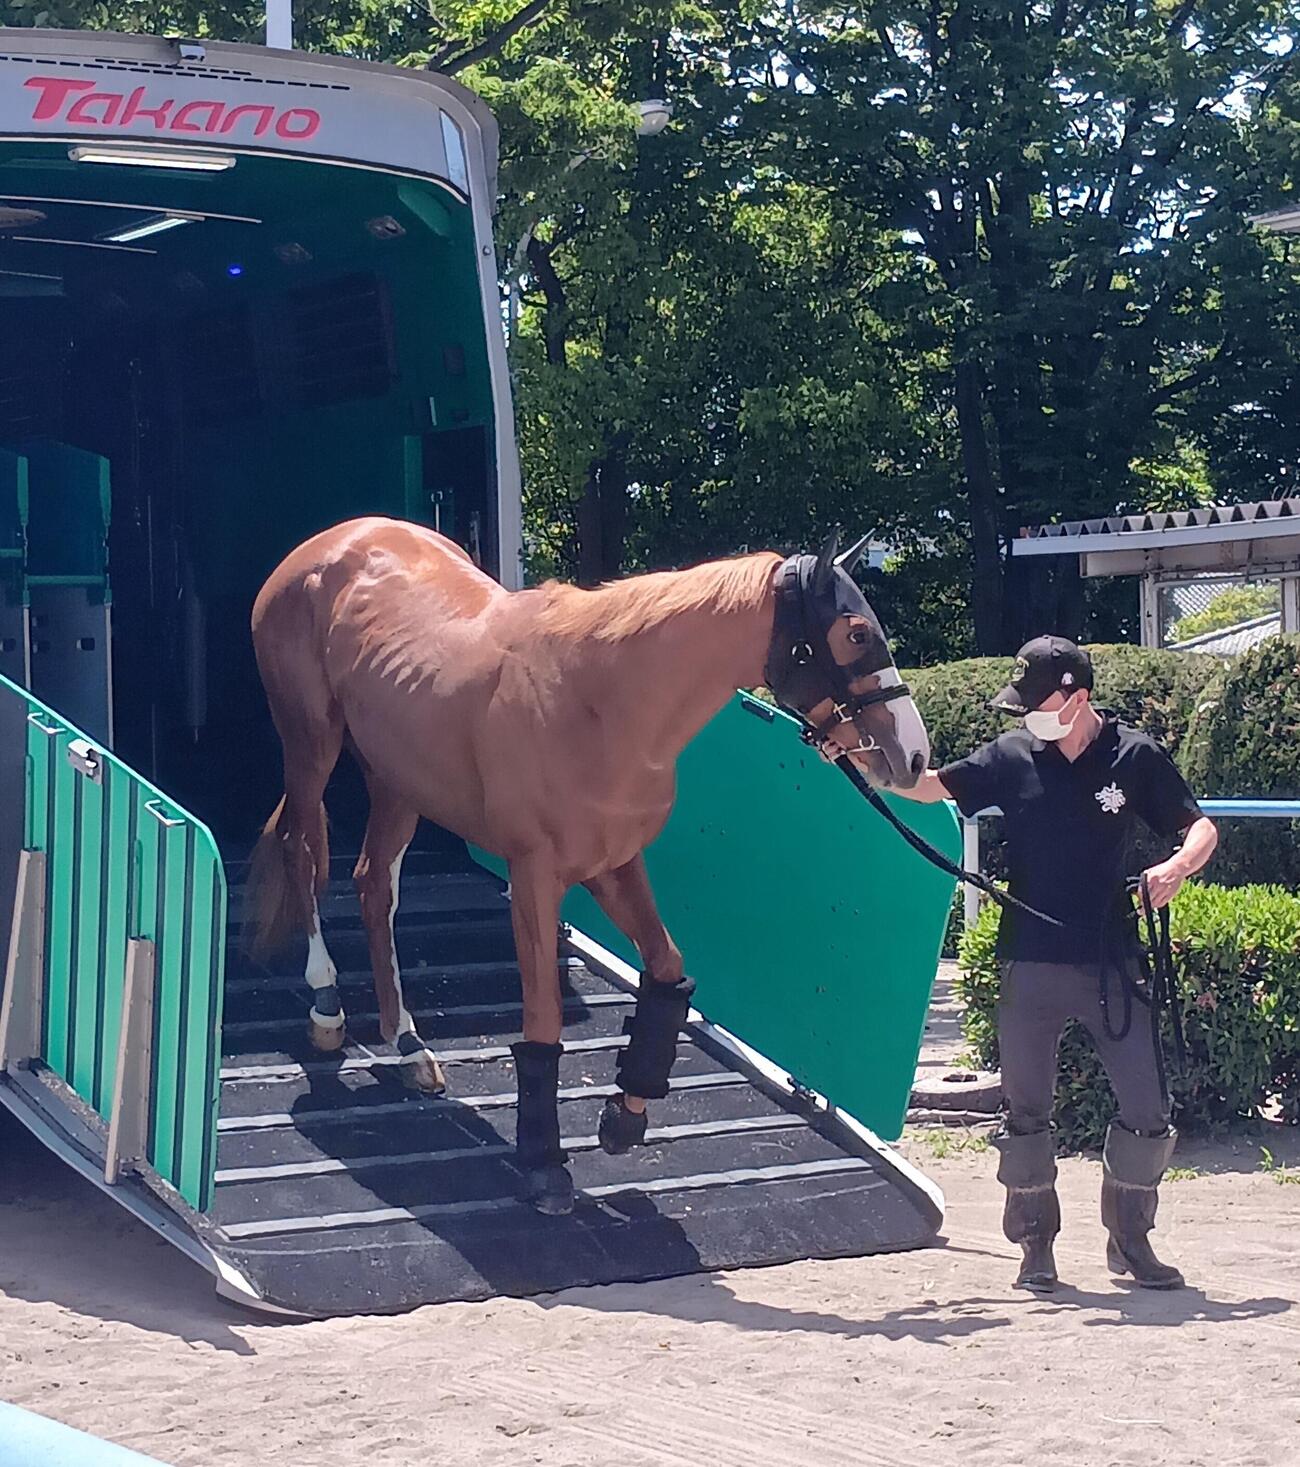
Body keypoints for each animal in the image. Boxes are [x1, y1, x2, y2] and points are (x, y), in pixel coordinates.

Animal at [245, 517, 930, 1214]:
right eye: (855, 633)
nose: (914, 757)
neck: (597, 702)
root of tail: (330, 544)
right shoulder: (534, 876)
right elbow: (545, 1018)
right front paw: (545, 1165)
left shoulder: (615, 864)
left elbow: (667, 970)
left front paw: (624, 1116)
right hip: (311, 743)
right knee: (305, 854)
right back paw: (327, 1006)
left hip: (395, 778)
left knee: (372, 885)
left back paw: (407, 1044)